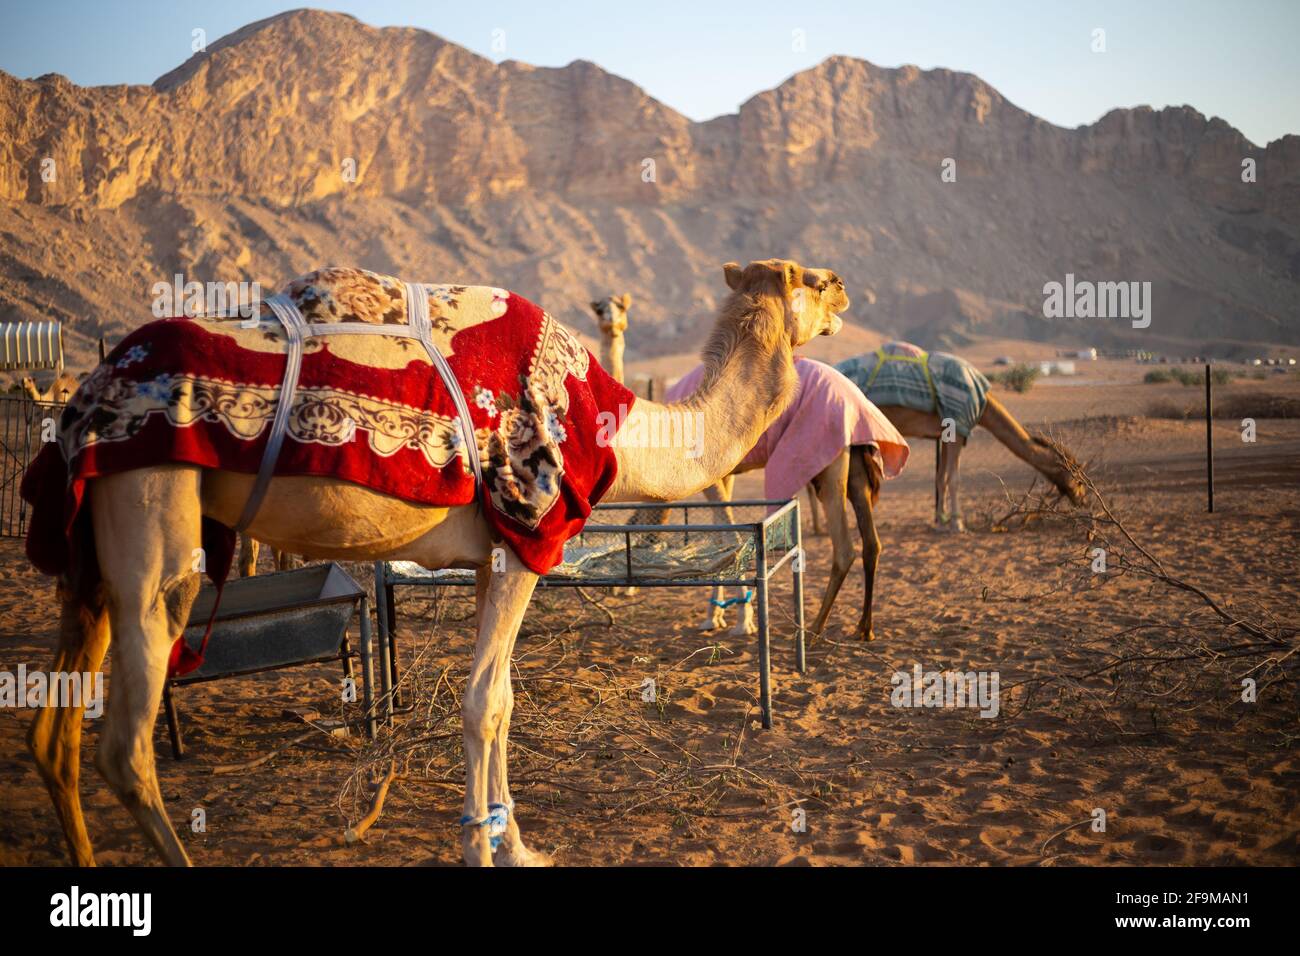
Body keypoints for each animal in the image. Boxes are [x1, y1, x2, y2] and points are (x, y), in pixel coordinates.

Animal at [25, 257, 847, 868]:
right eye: (810, 279)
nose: (843, 289)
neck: (622, 424)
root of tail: (84, 398)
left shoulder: (493, 556)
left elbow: (504, 699)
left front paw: (516, 846)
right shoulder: (528, 534)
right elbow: (485, 702)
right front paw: (484, 848)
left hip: (89, 566)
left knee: (53, 736)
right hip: (153, 518)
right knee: (125, 745)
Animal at [665, 358, 909, 642]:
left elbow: (728, 534)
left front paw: (742, 622)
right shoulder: (724, 473)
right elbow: (719, 534)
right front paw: (714, 617)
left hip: (825, 457)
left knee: (844, 547)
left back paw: (813, 629)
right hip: (857, 464)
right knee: (872, 542)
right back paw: (864, 628)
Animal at [832, 343, 1086, 530]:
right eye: (1077, 475)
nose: (1083, 499)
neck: (984, 403)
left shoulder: (946, 434)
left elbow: (941, 478)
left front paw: (941, 522)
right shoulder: (958, 425)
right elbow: (954, 479)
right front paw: (958, 523)